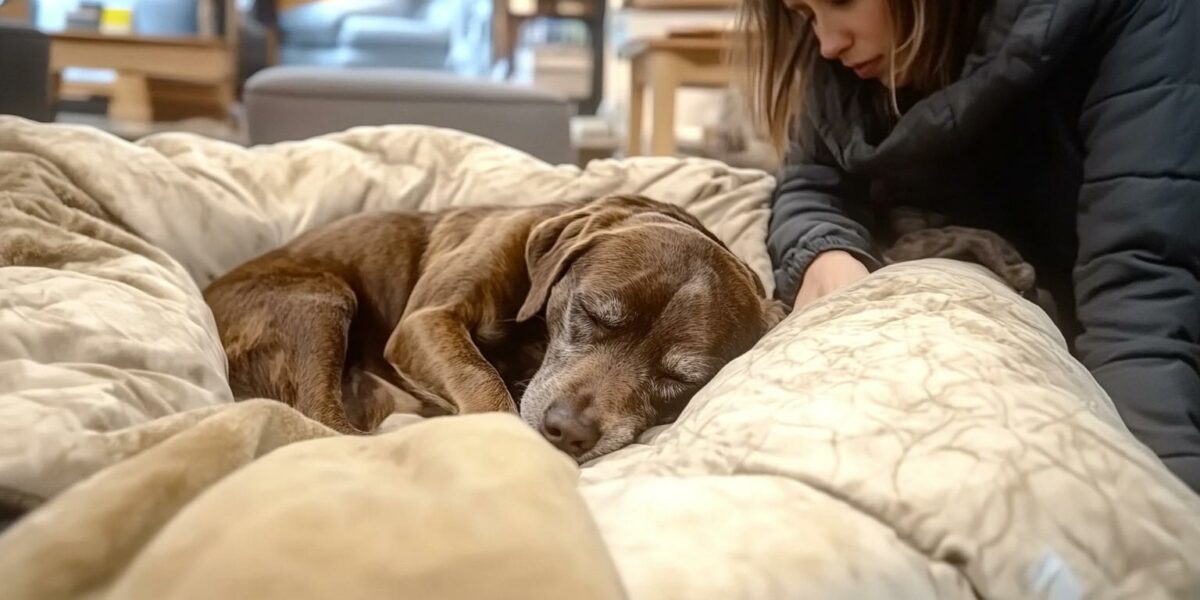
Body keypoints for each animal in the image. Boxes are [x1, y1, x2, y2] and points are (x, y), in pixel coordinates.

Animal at [206, 194, 787, 460]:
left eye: (680, 379)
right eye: (592, 312)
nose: (567, 432)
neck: (534, 340)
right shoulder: (424, 322)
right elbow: (481, 379)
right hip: (321, 300)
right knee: (320, 419)